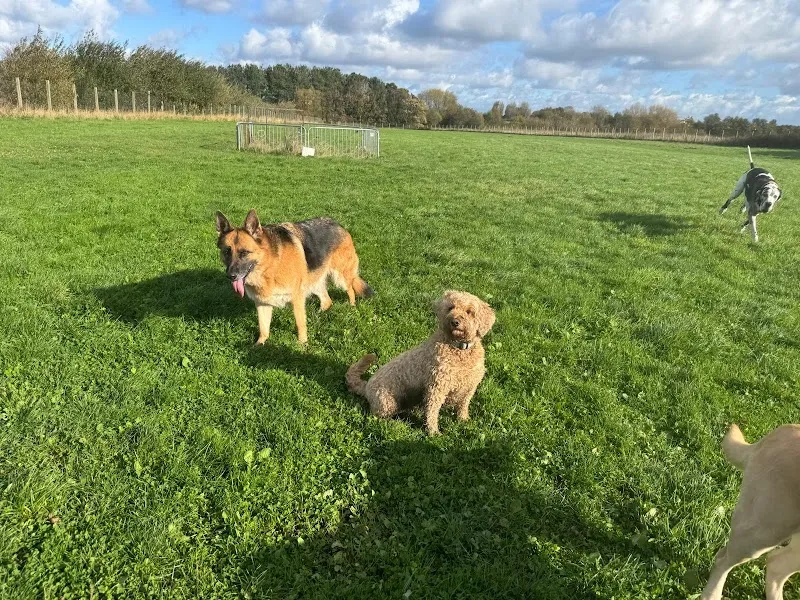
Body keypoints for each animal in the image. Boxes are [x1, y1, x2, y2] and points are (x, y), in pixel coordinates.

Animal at [215, 210, 373, 345]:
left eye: (244, 253)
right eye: (227, 252)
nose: (231, 276)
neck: (270, 264)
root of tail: (337, 224)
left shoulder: (297, 299)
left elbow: (300, 324)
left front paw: (302, 345)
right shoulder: (262, 303)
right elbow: (263, 328)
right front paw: (259, 345)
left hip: (339, 277)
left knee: (350, 290)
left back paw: (351, 307)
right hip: (313, 282)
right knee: (327, 300)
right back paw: (318, 314)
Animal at [346, 290, 495, 435]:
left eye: (469, 311)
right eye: (451, 307)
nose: (455, 321)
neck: (459, 349)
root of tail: (366, 386)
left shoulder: (470, 387)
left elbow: (463, 405)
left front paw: (463, 420)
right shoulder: (436, 387)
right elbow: (432, 411)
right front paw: (433, 432)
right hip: (387, 402)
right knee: (378, 416)